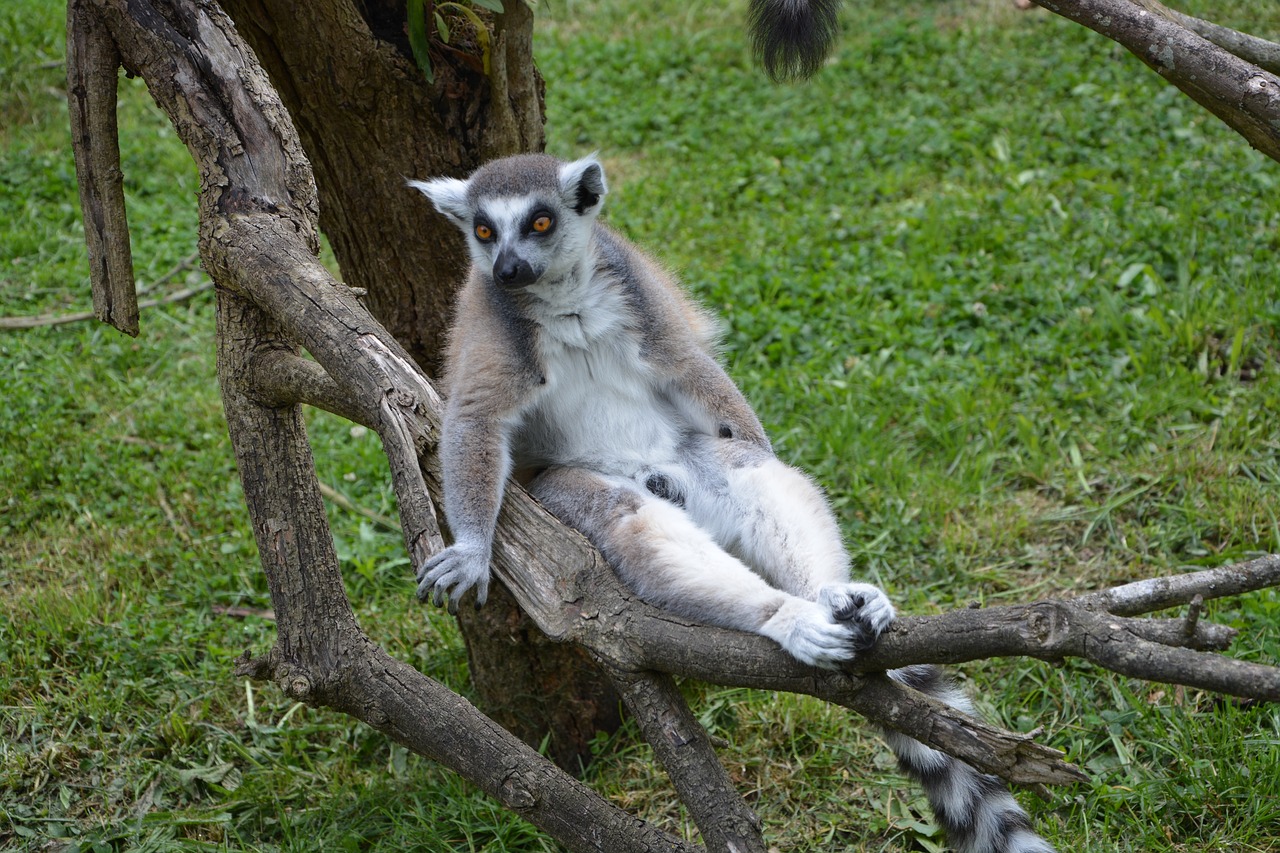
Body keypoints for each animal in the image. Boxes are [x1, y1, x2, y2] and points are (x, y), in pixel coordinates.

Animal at [408, 153, 1055, 853]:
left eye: (539, 222)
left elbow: (693, 369)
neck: (564, 302)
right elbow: (474, 421)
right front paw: (473, 548)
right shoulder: (495, 327)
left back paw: (830, 594)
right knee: (628, 520)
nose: (506, 269)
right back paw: (785, 617)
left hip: (692, 459)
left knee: (749, 471)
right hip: (566, 491)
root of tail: (658, 476)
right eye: (482, 231)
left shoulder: (636, 295)